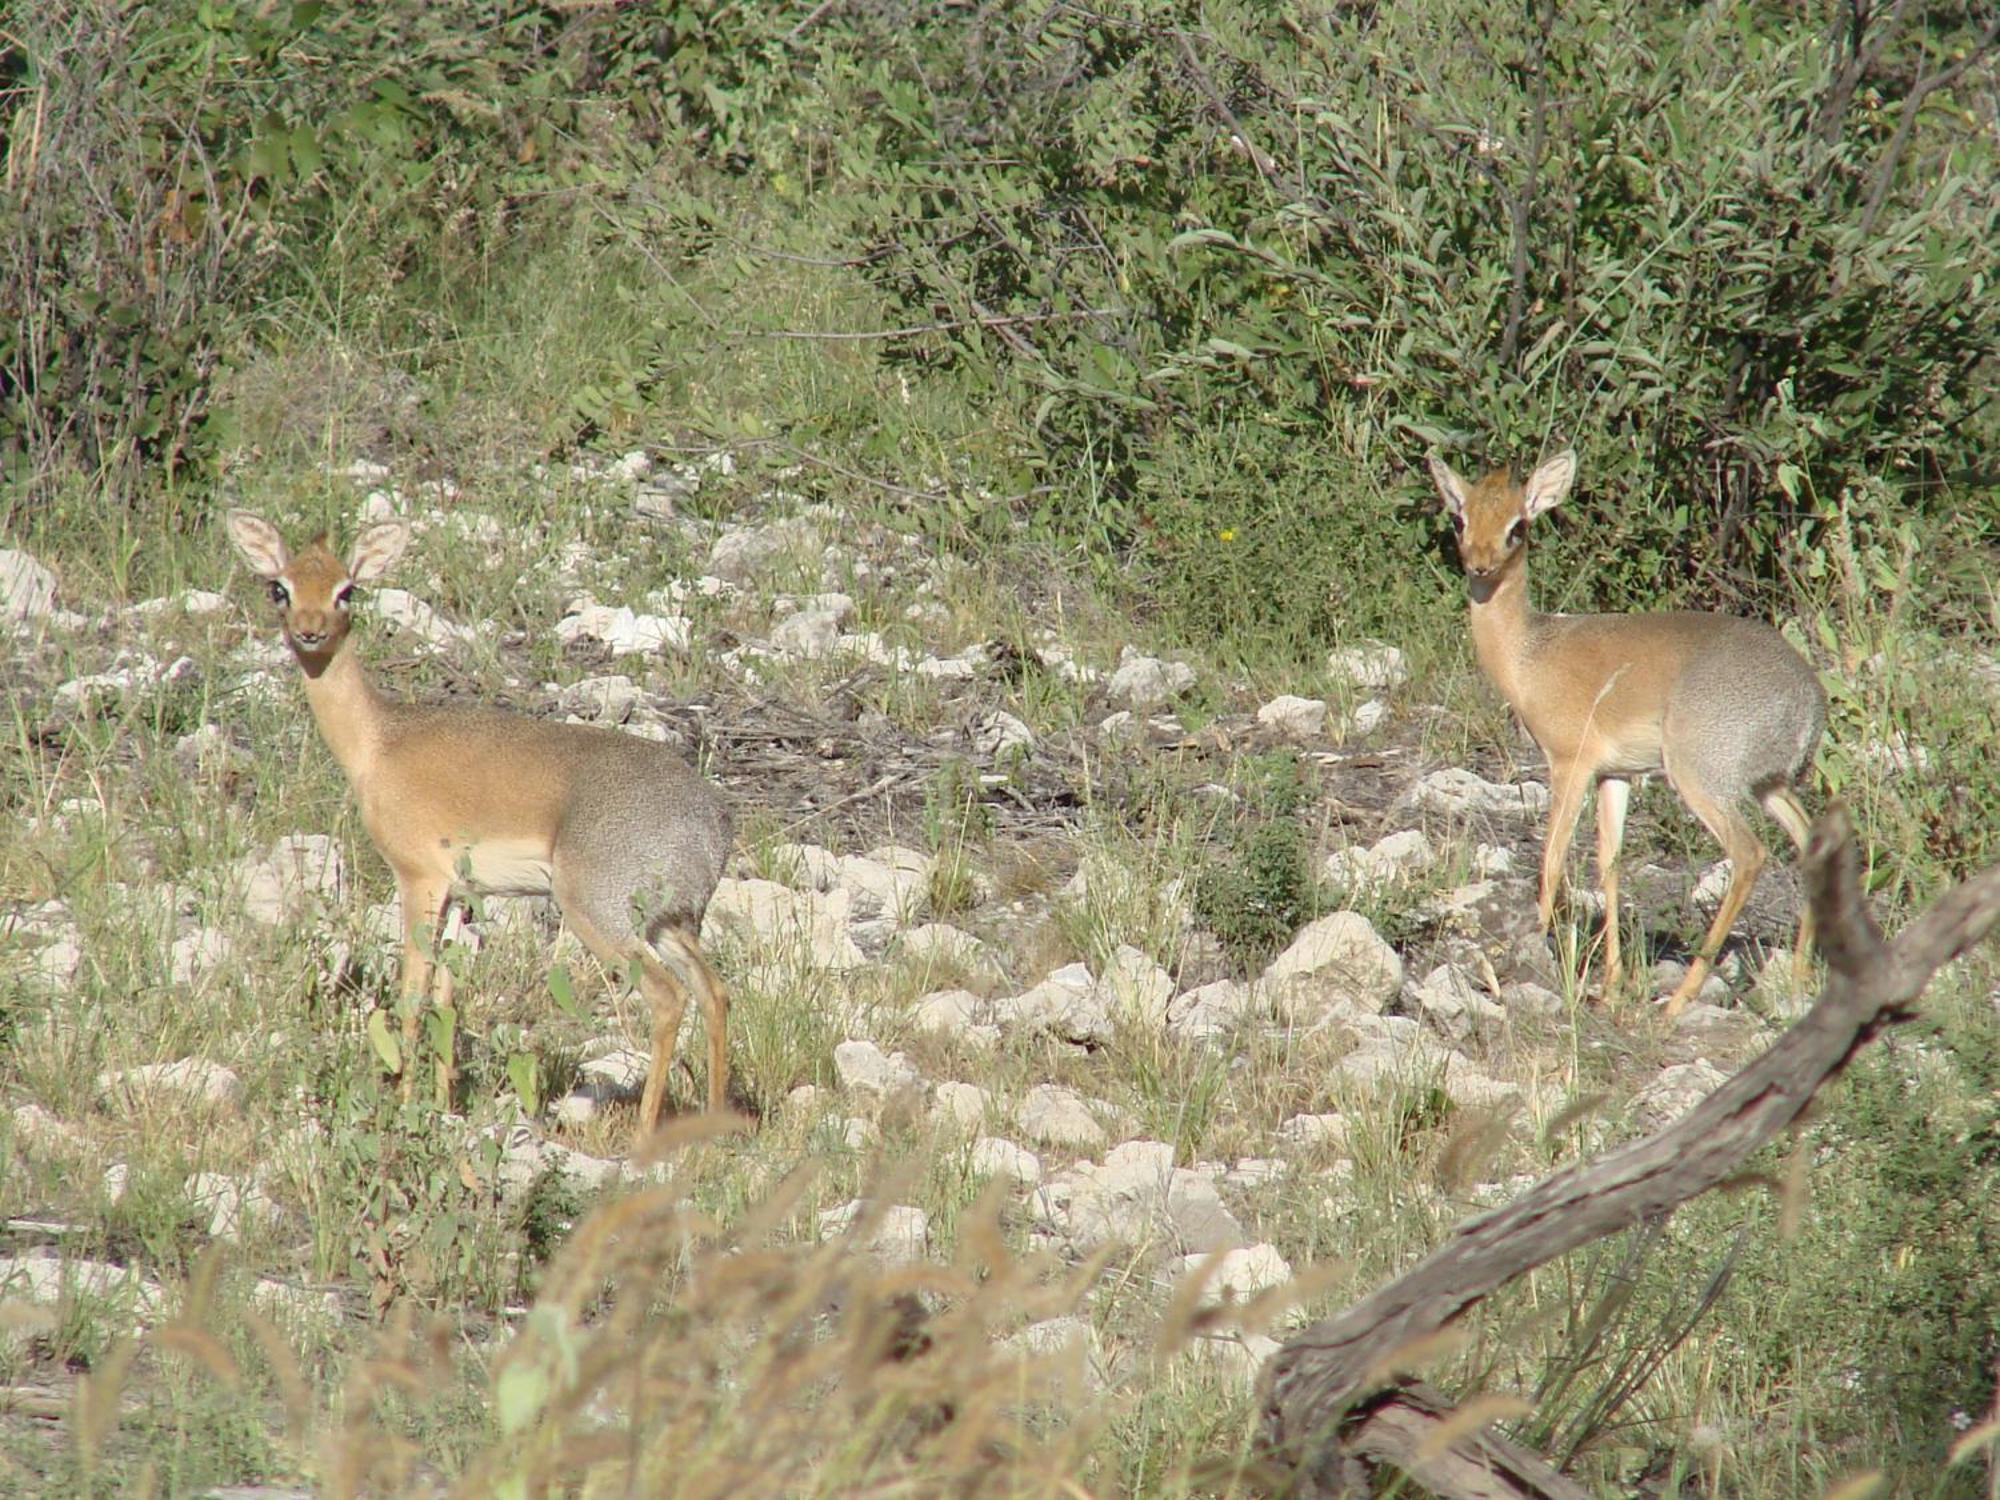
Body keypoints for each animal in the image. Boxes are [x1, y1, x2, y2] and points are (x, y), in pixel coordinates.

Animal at [232, 516, 736, 1128]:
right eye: (279, 587)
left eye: (345, 590)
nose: (309, 632)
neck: (377, 742)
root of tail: (710, 823)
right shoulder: (463, 896)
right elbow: (447, 999)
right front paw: (441, 1105)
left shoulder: (419, 879)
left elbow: (412, 994)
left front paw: (405, 1108)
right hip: (671, 923)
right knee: (714, 993)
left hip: (598, 914)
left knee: (668, 998)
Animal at [1424, 452, 1832, 1016]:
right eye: (1461, 518)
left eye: (1517, 526)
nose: (1479, 566)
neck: (1529, 655)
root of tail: (1808, 700)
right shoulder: (1613, 775)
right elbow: (1609, 864)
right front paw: (1612, 982)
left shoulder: (1568, 763)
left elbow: (1552, 858)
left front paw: (1523, 958)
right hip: (1768, 784)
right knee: (1810, 838)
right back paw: (1795, 979)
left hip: (1701, 779)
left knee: (1749, 854)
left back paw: (1679, 1001)